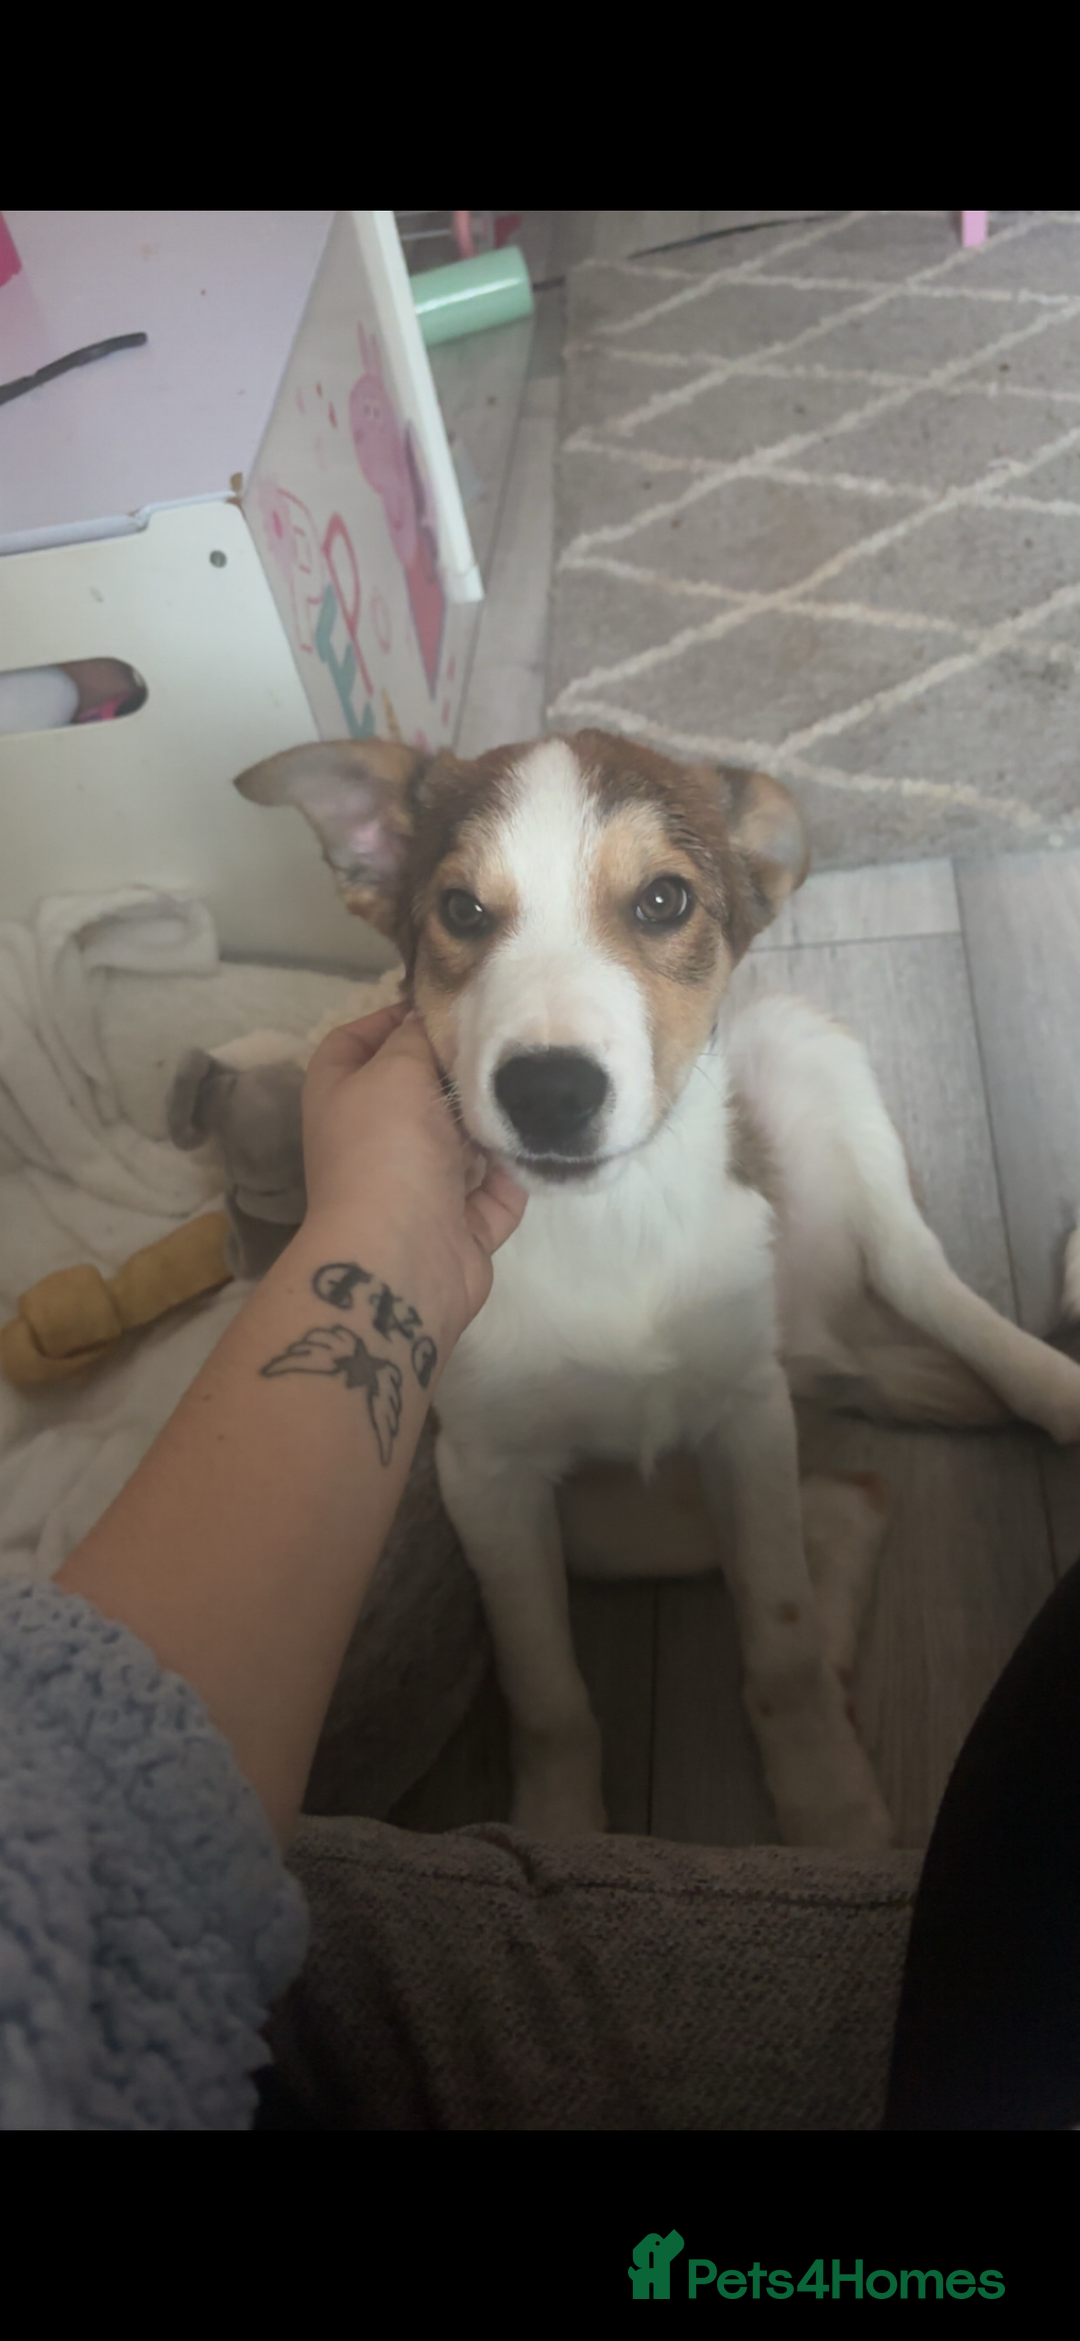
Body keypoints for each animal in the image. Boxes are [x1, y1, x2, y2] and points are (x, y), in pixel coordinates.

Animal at [233, 730, 1080, 1848]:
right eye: (461, 909)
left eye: (665, 900)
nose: (549, 1093)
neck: (607, 1222)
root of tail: (823, 1346)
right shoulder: (486, 1477)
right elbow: (547, 1689)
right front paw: (555, 1825)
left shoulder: (745, 1413)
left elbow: (779, 1633)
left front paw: (828, 1802)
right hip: (617, 1522)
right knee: (848, 1498)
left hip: (803, 1047)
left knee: (917, 1270)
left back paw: (1048, 1384)